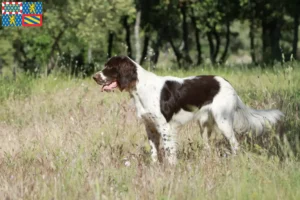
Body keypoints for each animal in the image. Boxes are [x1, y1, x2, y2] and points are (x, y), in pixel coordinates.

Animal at [92, 55, 284, 164]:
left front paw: (170, 169)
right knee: (208, 146)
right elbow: (154, 152)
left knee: (235, 144)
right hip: (205, 125)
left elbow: (169, 152)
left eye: (110, 67)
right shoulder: (150, 127)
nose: (94, 77)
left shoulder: (165, 127)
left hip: (223, 121)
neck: (140, 88)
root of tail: (227, 83)